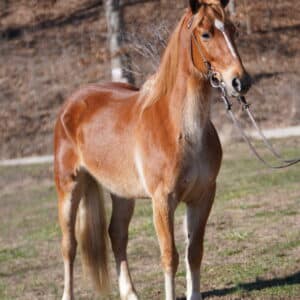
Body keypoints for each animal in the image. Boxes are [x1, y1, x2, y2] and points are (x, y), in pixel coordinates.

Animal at [53, 0, 251, 300]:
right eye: (206, 34)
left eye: (233, 29)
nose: (240, 81)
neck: (180, 127)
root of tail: (71, 104)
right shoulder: (163, 200)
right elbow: (170, 256)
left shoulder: (203, 196)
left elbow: (195, 251)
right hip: (69, 188)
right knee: (69, 245)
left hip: (122, 193)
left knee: (117, 235)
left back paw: (130, 293)